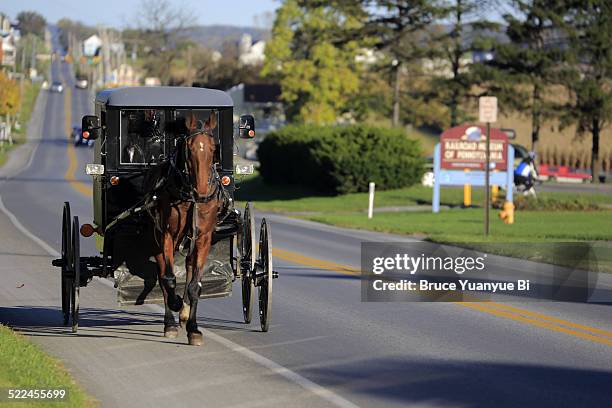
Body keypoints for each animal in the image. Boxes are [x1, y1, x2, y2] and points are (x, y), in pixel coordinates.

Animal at [153, 111, 220, 344]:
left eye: (213, 148)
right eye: (189, 148)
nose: (201, 192)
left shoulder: (203, 238)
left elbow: (195, 286)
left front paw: (193, 328)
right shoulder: (166, 234)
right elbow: (169, 279)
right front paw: (176, 305)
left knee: (189, 269)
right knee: (162, 276)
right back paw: (170, 322)